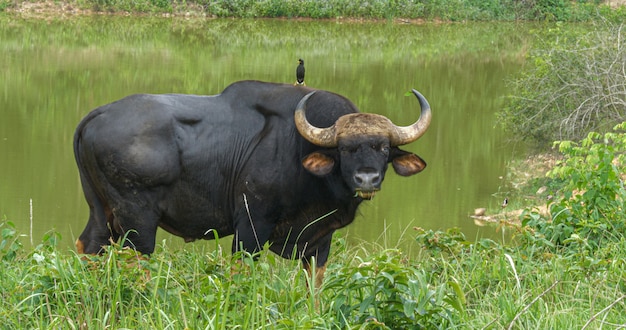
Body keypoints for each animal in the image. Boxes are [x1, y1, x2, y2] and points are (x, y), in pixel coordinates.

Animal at [73, 80, 428, 284]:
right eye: (344, 148)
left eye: (383, 148)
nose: (366, 178)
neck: (298, 149)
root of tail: (98, 114)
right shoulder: (251, 225)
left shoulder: (319, 238)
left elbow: (314, 284)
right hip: (137, 221)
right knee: (136, 261)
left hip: (99, 210)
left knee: (89, 246)